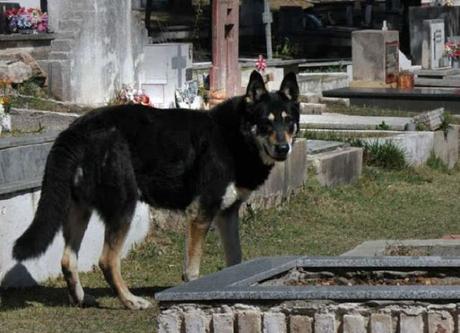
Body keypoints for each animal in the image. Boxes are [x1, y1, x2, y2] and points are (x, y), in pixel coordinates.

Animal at [12, 70, 300, 308]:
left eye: (288, 121)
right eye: (265, 122)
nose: (283, 149)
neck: (235, 136)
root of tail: (76, 129)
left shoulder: (226, 214)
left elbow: (236, 259)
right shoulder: (200, 213)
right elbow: (192, 269)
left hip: (80, 211)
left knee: (68, 260)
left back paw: (82, 299)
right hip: (124, 207)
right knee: (107, 260)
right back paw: (130, 301)